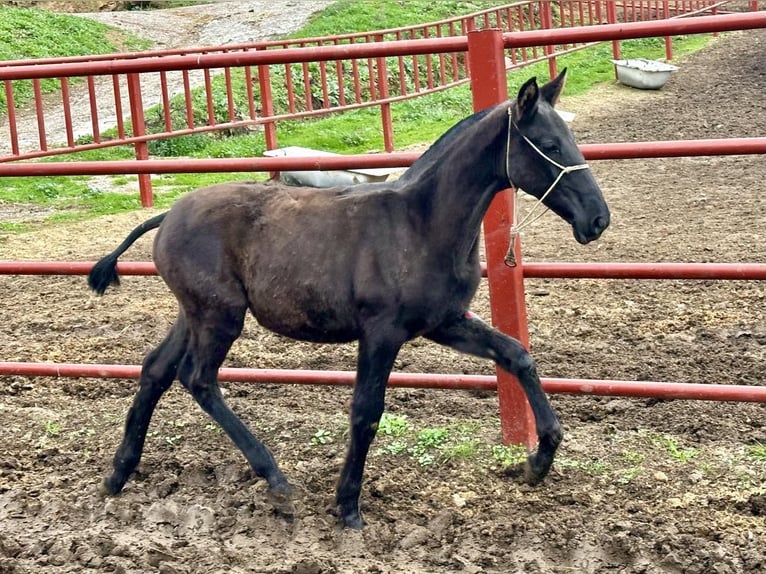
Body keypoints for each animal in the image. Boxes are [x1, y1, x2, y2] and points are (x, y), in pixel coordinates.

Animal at [87, 71, 608, 532]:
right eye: (551, 145)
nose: (598, 219)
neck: (420, 224)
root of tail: (167, 216)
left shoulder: (445, 321)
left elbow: (517, 355)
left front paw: (538, 461)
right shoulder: (381, 332)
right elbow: (366, 409)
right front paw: (348, 507)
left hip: (194, 313)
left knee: (156, 369)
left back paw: (118, 473)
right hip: (220, 317)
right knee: (197, 378)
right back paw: (275, 478)